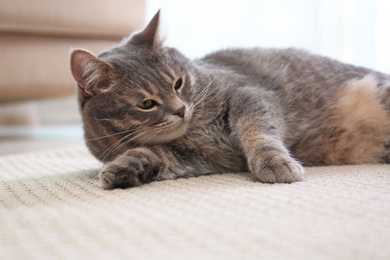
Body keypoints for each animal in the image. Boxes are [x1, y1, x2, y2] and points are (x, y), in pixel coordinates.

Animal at [69, 10, 390, 189]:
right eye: (147, 104)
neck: (193, 132)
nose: (181, 110)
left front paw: (274, 163)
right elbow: (154, 154)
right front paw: (124, 169)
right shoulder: (201, 159)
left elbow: (257, 133)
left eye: (178, 83)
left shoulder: (250, 95)